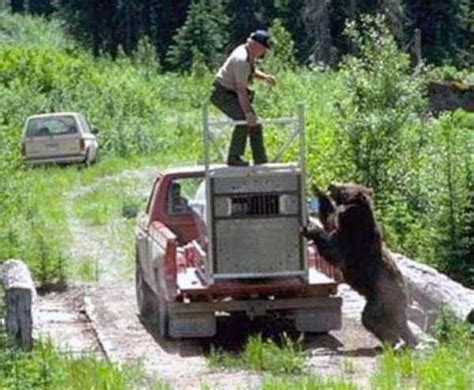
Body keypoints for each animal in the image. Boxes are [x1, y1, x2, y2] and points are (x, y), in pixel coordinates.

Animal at [306, 183, 416, 348]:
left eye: (345, 188)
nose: (331, 184)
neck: (355, 220)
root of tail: (405, 297)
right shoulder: (341, 226)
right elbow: (329, 219)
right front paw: (318, 191)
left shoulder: (353, 243)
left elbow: (332, 249)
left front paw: (310, 228)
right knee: (399, 324)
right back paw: (407, 341)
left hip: (382, 298)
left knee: (371, 319)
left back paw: (390, 341)